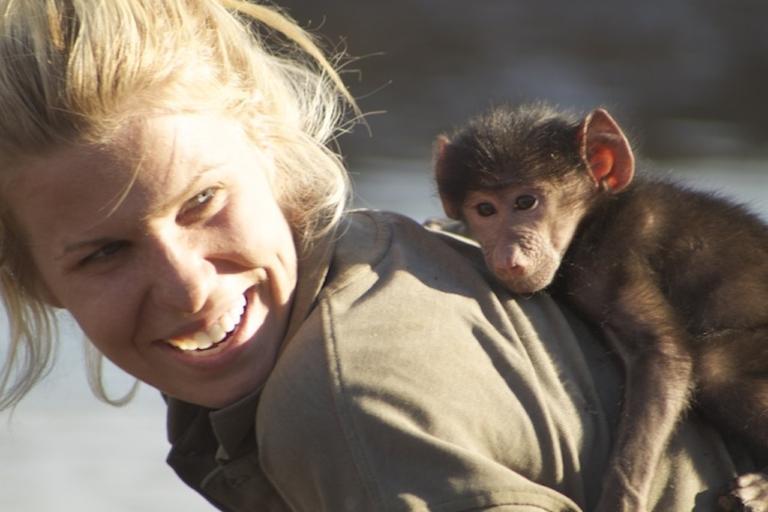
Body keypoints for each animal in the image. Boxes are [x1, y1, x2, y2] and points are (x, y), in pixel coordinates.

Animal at [433, 103, 768, 512]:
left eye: (525, 202)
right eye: (485, 209)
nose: (508, 258)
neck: (597, 215)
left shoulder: (609, 258)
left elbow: (666, 354)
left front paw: (620, 498)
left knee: (716, 367)